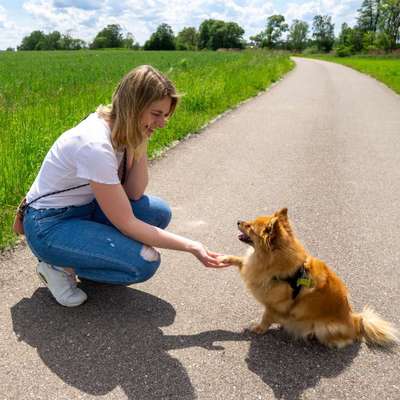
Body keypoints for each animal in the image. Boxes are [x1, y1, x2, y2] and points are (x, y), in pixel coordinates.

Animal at [220, 208, 398, 348]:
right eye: (249, 222)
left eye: (249, 226)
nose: (238, 221)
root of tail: (354, 320)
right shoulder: (252, 267)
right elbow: (240, 260)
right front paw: (224, 258)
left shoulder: (273, 305)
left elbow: (266, 318)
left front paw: (258, 328)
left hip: (325, 327)